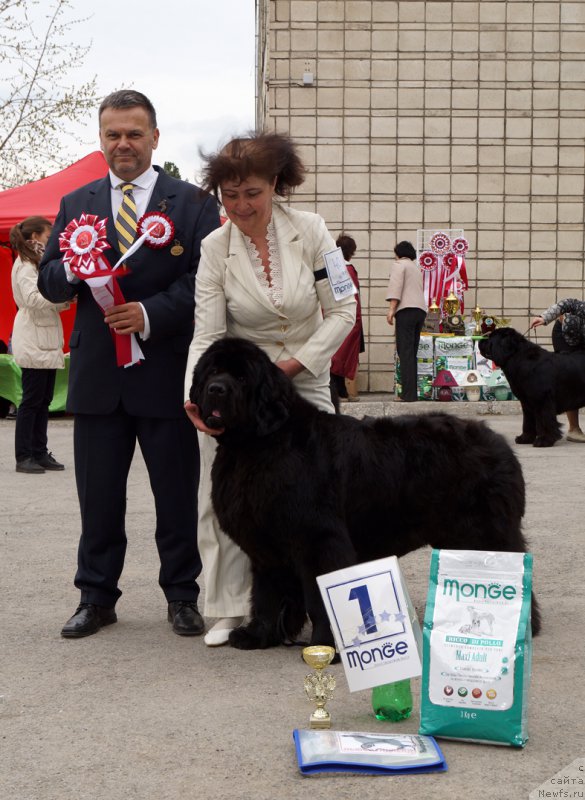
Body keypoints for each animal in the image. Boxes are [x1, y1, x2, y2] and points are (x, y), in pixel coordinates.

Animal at [189, 338, 540, 648]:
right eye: (211, 372)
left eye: (242, 377)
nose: (216, 389)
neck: (256, 445)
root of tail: (500, 444)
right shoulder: (266, 544)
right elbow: (266, 594)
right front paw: (258, 635)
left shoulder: (318, 539)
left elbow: (319, 596)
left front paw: (325, 645)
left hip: (485, 532)